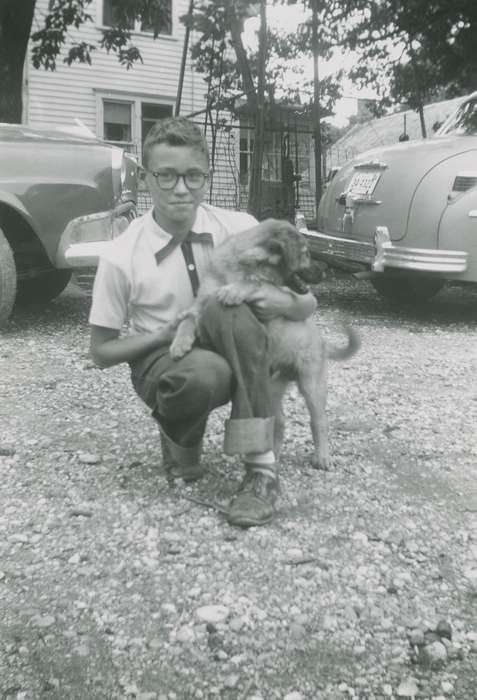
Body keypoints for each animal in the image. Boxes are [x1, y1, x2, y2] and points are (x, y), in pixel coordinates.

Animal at [169, 219, 358, 470]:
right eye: (306, 253)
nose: (325, 270)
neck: (240, 266)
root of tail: (323, 342)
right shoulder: (203, 303)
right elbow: (189, 318)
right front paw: (179, 343)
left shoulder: (266, 291)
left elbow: (256, 282)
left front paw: (235, 289)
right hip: (270, 388)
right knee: (279, 422)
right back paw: (272, 457)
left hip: (312, 384)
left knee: (319, 420)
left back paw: (322, 457)